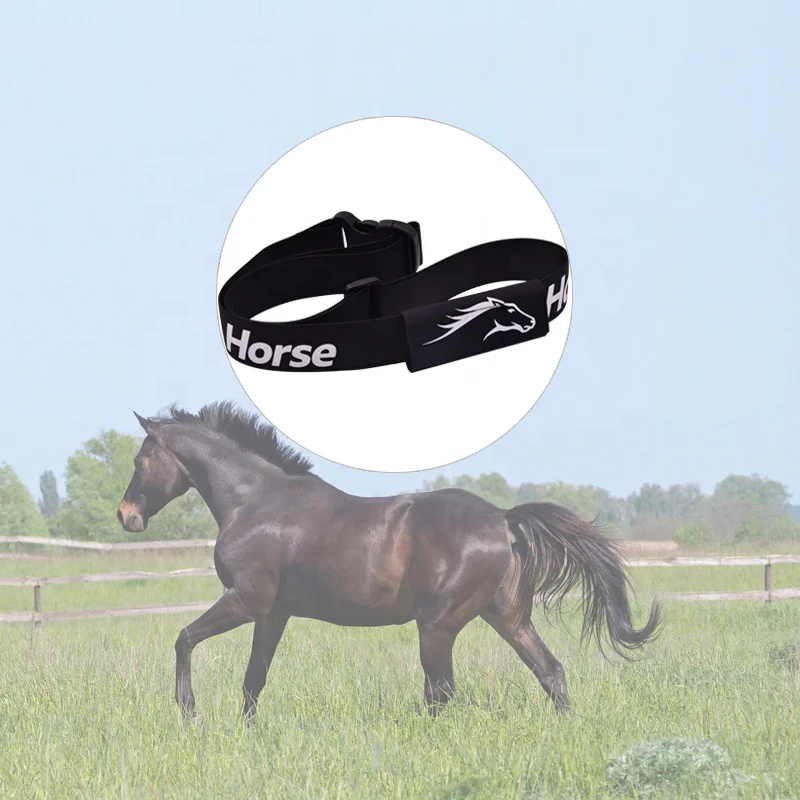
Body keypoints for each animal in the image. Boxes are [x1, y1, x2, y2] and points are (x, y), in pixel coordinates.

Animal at [117, 402, 661, 721]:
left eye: (141, 459)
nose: (127, 516)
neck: (256, 501)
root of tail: (503, 521)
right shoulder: (273, 614)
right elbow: (254, 680)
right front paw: (242, 732)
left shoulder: (247, 601)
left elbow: (184, 638)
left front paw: (188, 713)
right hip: (507, 618)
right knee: (549, 672)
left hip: (438, 625)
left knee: (441, 690)